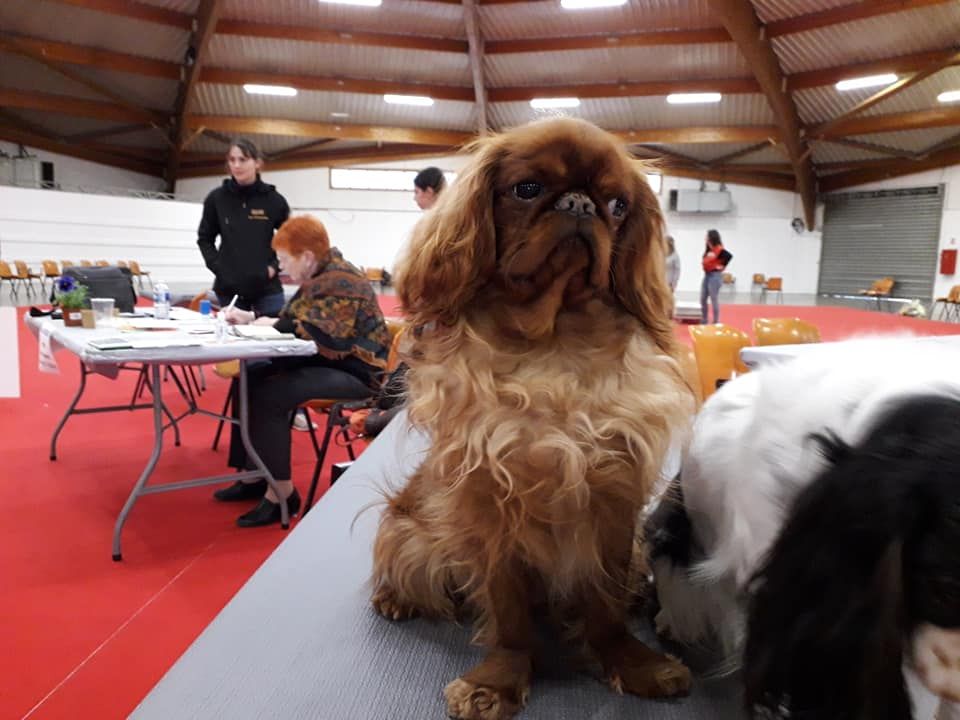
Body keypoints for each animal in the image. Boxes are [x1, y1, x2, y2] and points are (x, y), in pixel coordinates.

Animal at [370, 118, 697, 719]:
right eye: (527, 189)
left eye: (618, 204)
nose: (579, 204)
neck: (555, 343)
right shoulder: (489, 505)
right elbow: (508, 614)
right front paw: (499, 680)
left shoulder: (613, 497)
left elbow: (605, 600)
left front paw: (631, 661)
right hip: (410, 535)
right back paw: (393, 598)